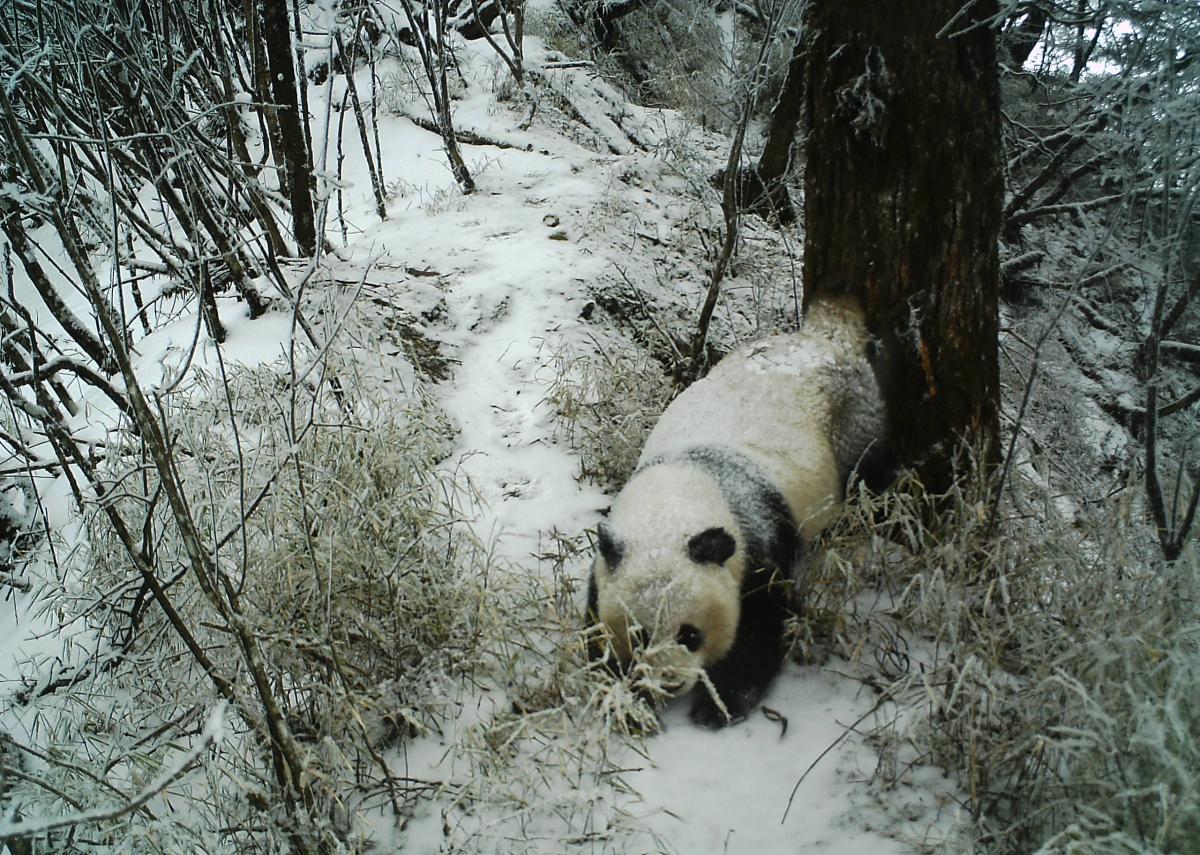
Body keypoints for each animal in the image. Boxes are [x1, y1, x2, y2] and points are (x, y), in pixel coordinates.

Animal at [586, 295, 889, 727]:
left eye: (689, 634)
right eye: (640, 634)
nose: (670, 682)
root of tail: (827, 334)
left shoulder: (756, 537)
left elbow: (762, 625)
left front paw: (717, 705)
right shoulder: (610, 557)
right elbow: (596, 634)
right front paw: (630, 698)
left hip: (856, 424)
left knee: (868, 480)